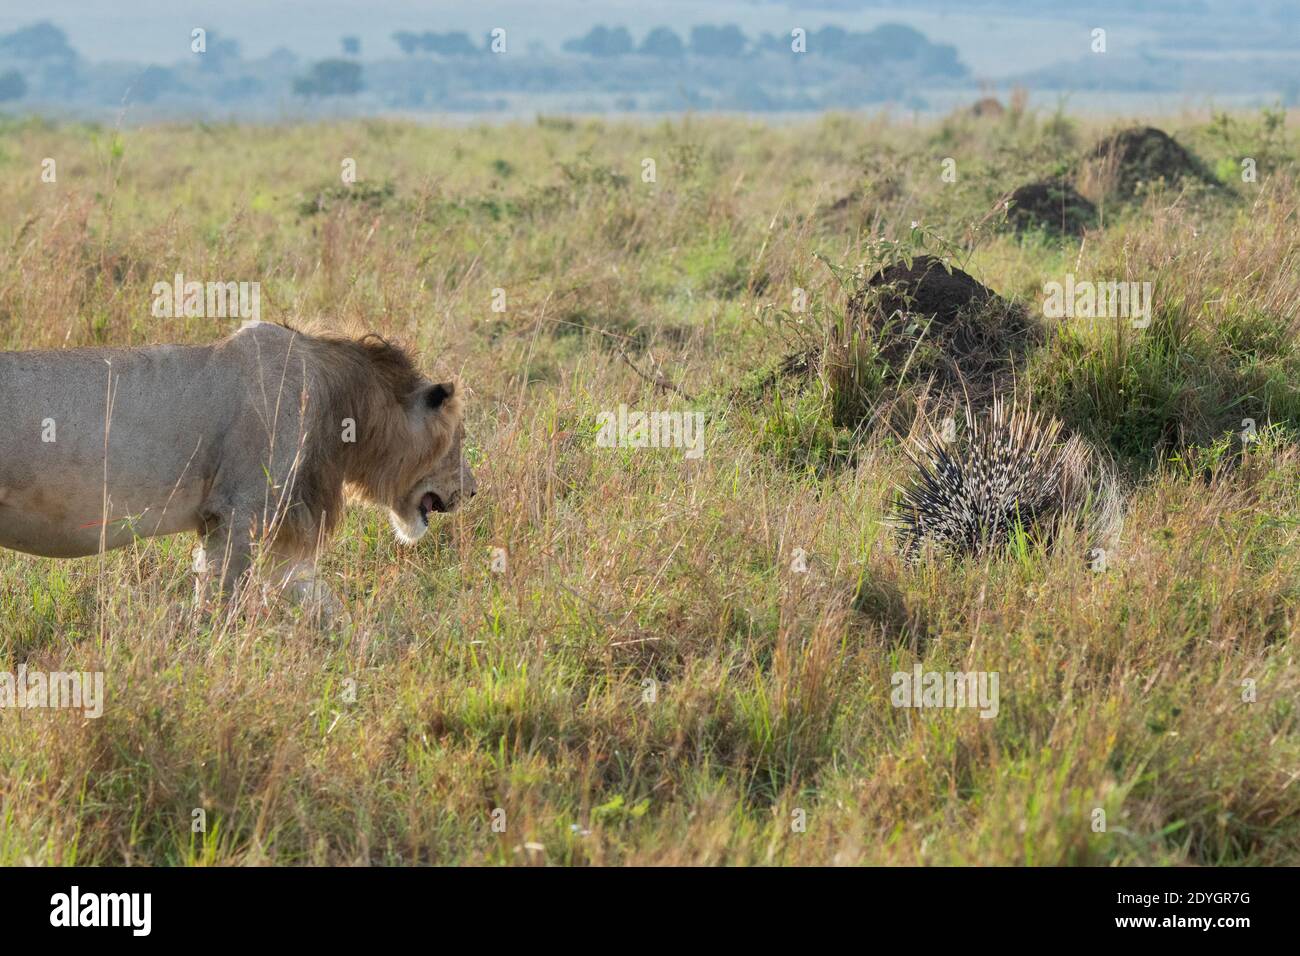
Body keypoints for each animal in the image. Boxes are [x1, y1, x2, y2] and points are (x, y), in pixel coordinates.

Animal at [0, 321, 478, 616]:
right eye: (459, 438)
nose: (473, 490)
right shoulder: (238, 511)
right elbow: (221, 601)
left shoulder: (266, 524)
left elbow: (322, 603)